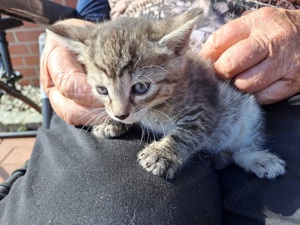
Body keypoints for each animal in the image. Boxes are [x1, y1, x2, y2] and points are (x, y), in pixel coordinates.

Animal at [47, 8, 286, 180]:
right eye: (102, 90)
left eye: (140, 88)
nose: (119, 115)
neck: (157, 106)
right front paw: (111, 123)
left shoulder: (206, 109)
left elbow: (186, 133)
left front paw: (161, 154)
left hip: (248, 111)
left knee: (242, 149)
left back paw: (259, 159)